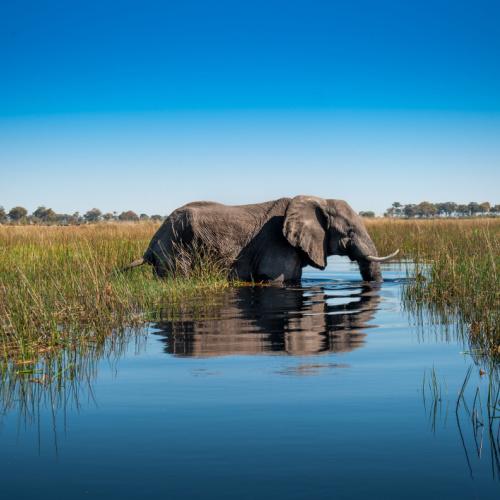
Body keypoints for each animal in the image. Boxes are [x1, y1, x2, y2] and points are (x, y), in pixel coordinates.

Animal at [126, 194, 398, 282]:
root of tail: (150, 246)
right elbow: (279, 279)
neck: (319, 199)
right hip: (174, 249)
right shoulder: (277, 243)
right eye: (349, 232)